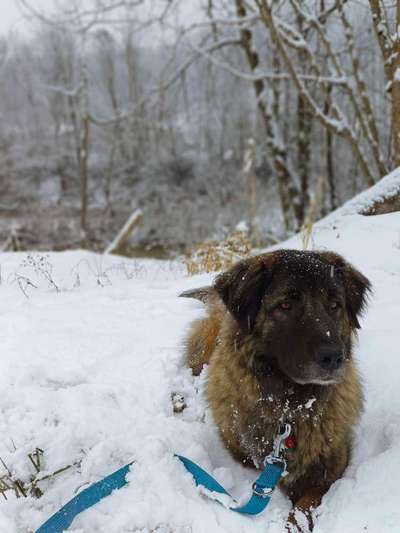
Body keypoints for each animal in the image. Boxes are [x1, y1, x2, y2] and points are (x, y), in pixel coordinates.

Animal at [183, 248, 370, 528]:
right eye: (285, 306)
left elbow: (306, 502)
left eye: (335, 305)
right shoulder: (243, 452)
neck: (290, 407)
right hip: (205, 344)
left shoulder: (332, 465)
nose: (334, 358)